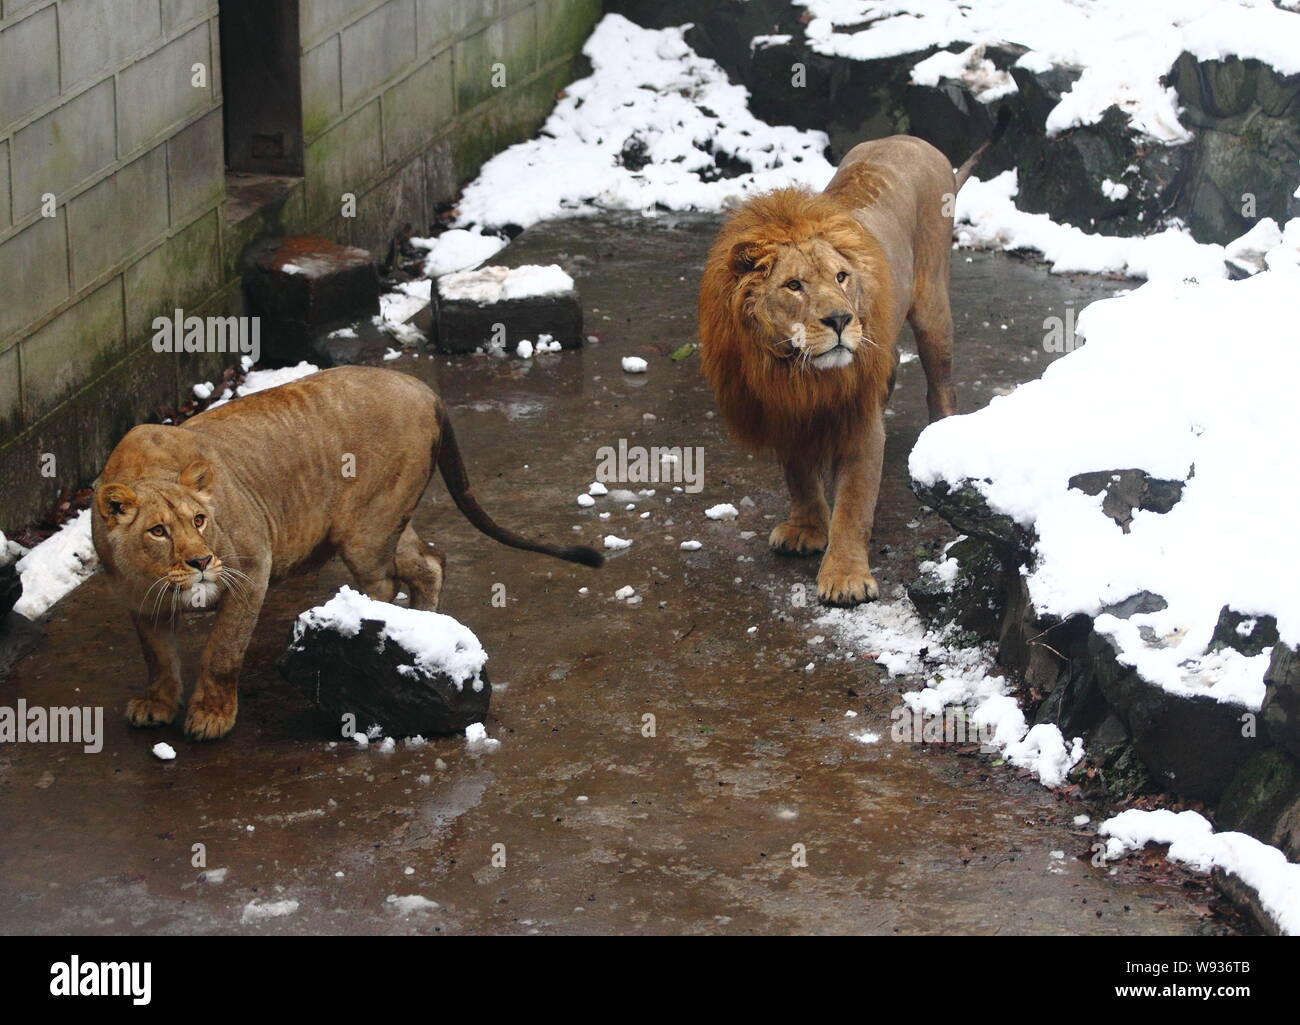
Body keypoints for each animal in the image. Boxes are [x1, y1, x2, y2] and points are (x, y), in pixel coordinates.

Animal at [92, 366, 603, 741]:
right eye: (158, 531)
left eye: (199, 520)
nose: (200, 562)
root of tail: (424, 389)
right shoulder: (139, 601)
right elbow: (158, 657)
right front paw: (157, 706)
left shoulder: (252, 567)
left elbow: (224, 651)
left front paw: (211, 717)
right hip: (389, 517)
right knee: (429, 563)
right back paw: (426, 626)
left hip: (365, 529)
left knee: (384, 583)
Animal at [698, 126, 1005, 606]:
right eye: (794, 285)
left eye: (841, 277)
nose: (842, 320)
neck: (800, 370)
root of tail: (914, 140)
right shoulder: (785, 406)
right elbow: (799, 475)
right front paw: (806, 528)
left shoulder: (859, 420)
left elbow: (853, 504)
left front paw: (844, 577)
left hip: (932, 303)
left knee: (941, 386)